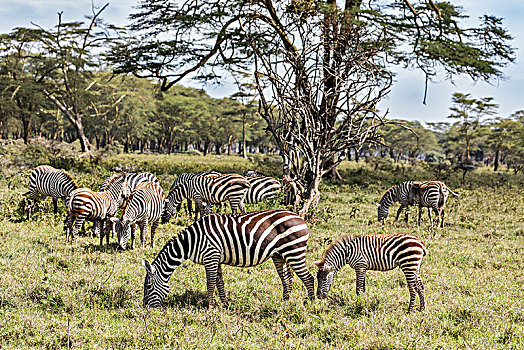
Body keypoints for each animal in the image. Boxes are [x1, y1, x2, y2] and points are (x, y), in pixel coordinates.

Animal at [140, 209, 316, 308]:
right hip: (279, 255)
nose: (145, 308)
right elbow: (220, 283)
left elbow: (210, 284)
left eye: (148, 287)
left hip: (295, 251)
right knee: (287, 279)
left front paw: (209, 307)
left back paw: (311, 304)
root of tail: (299, 217)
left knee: (308, 278)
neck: (192, 241)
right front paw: (224, 304)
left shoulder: (210, 256)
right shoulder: (215, 258)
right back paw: (283, 303)